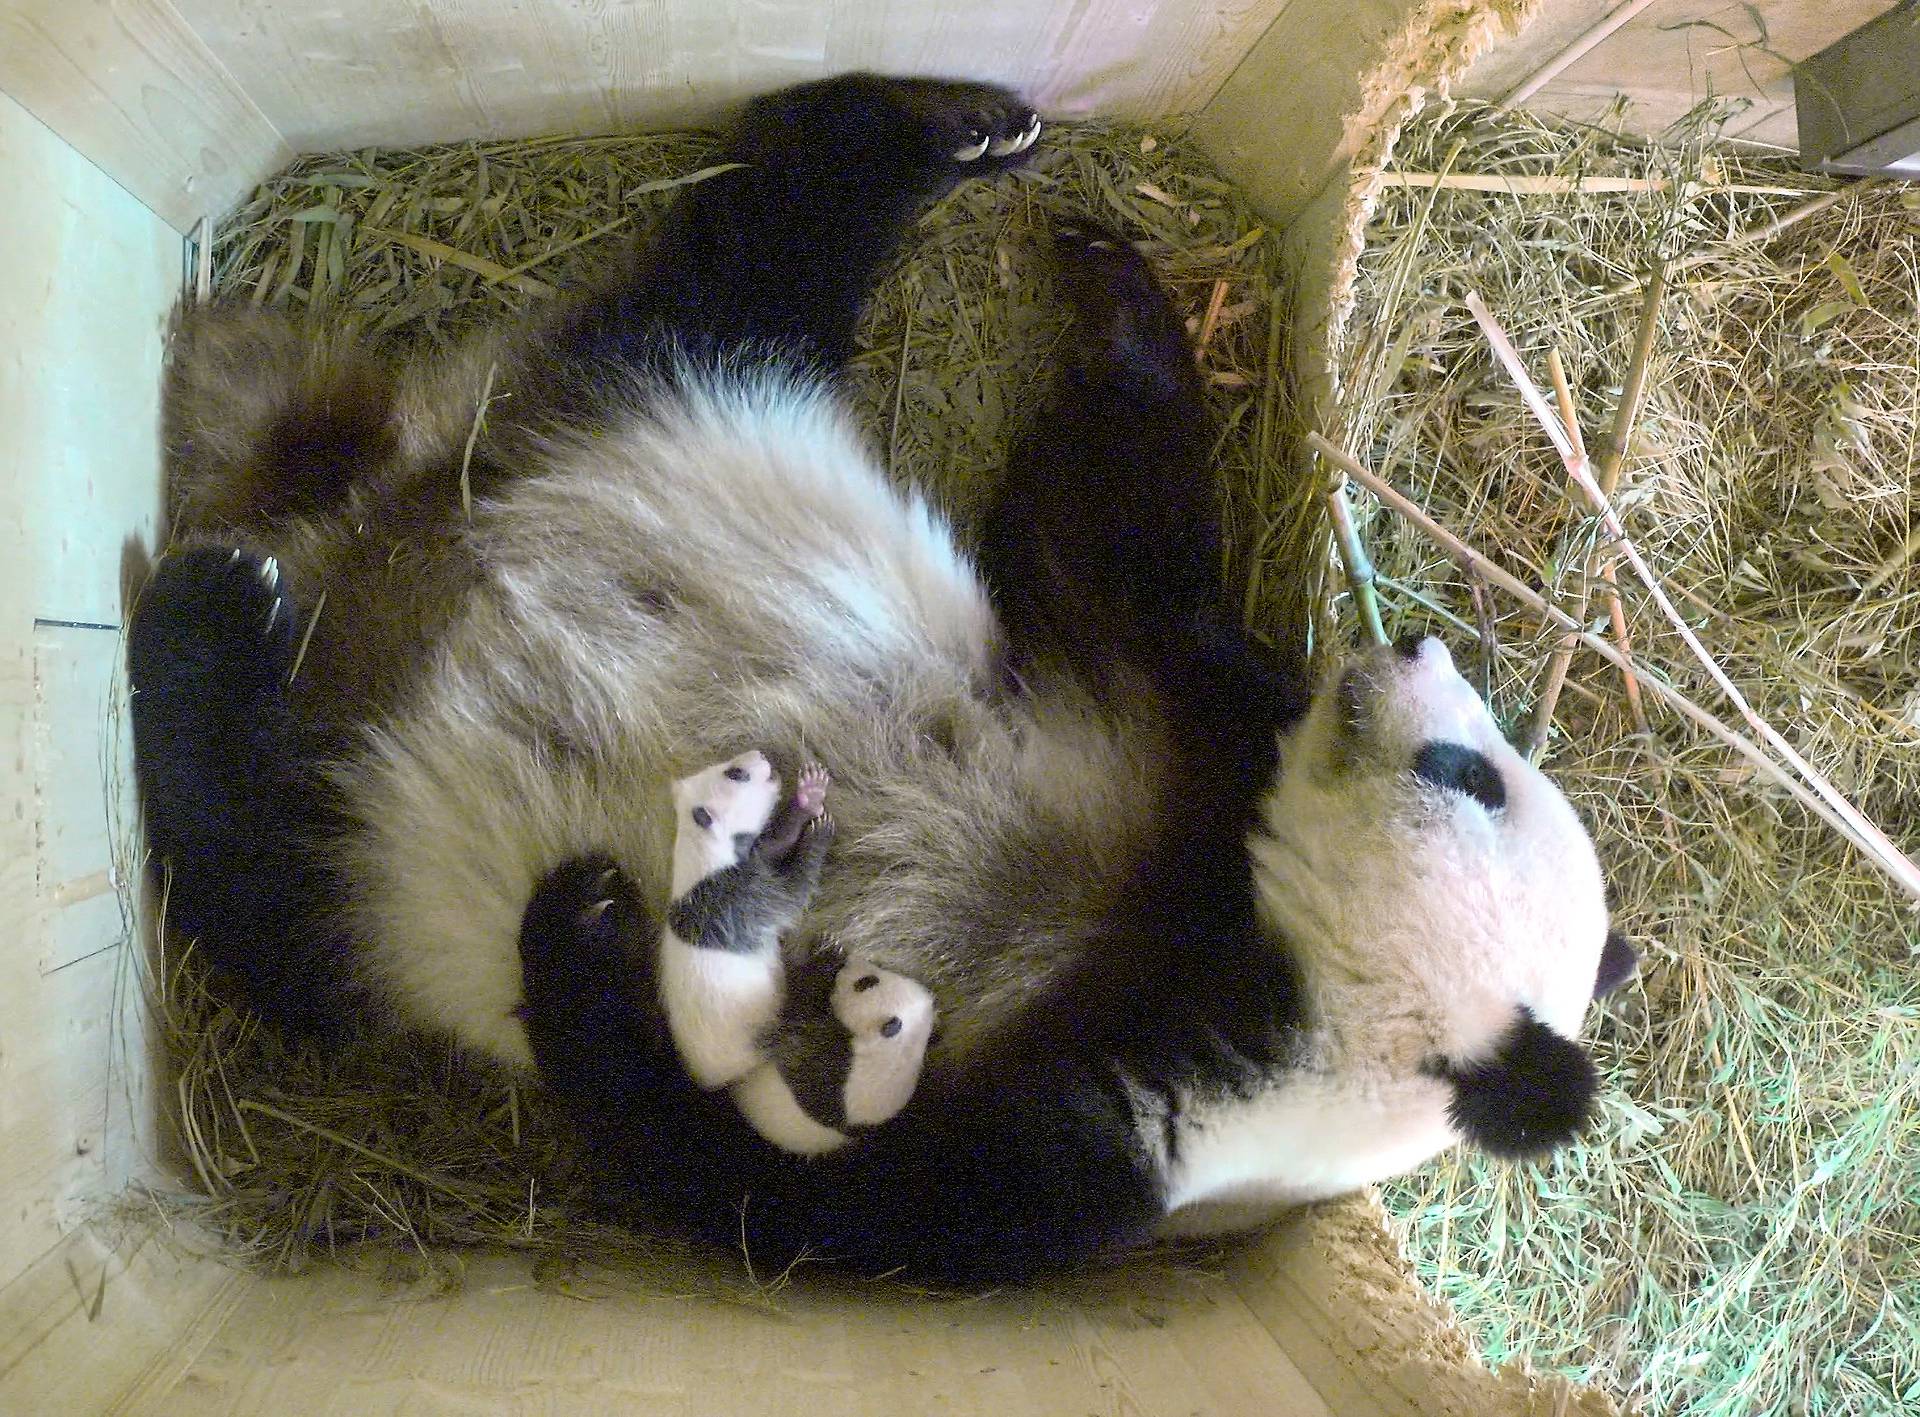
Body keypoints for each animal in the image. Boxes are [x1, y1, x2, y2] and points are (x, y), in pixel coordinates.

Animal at [131, 74, 1635, 1282]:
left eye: (1469, 772)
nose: (1416, 649)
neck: (1257, 959)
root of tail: (373, 527)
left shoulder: (1104, 1148)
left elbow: (778, 1203)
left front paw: (589, 938)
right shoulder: (1168, 717)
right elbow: (1103, 541)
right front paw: (1123, 304)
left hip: (388, 852)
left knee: (272, 903)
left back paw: (210, 626)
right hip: (679, 386)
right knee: (767, 249)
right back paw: (952, 126)